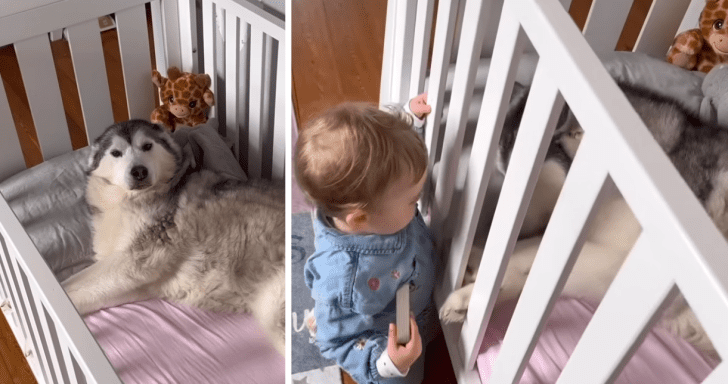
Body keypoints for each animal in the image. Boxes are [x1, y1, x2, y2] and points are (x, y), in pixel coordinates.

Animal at [62, 120, 286, 354]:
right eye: (116, 153)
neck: (129, 200)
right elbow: (82, 291)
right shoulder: (134, 282)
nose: (139, 171)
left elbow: (70, 285)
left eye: (147, 146)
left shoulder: (135, 259)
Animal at [438, 82, 724, 356]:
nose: (499, 218)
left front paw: (476, 286)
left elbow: (532, 255)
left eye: (527, 172)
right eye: (502, 170)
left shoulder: (631, 265)